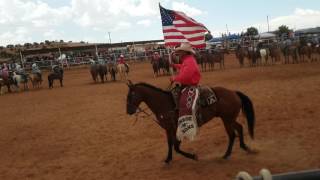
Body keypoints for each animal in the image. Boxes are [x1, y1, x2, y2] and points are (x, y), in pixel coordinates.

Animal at [126, 81, 256, 163]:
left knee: (232, 135)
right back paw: (245, 147)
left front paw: (193, 156)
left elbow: (176, 147)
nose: (128, 111)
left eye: (131, 95)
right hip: (229, 119)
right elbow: (170, 144)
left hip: (227, 119)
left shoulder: (175, 128)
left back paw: (226, 154)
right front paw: (168, 159)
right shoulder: (168, 129)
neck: (164, 103)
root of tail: (234, 92)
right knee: (239, 128)